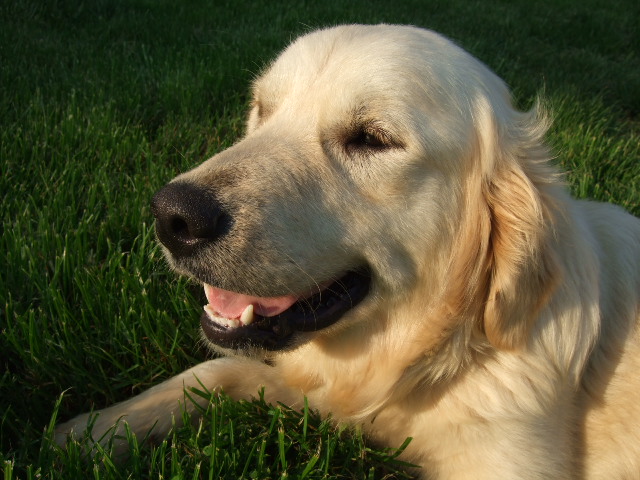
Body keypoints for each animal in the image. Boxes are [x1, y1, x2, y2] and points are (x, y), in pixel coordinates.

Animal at [56, 24, 640, 479]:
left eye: (372, 139)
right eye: (262, 109)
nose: (172, 218)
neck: (438, 355)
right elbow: (218, 369)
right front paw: (91, 430)